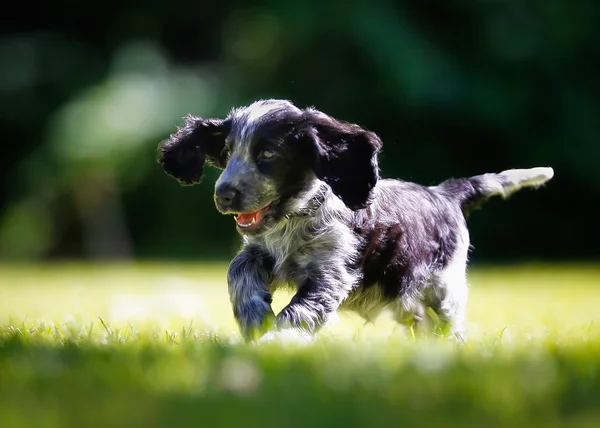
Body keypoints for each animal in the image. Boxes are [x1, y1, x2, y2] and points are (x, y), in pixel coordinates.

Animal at [157, 98, 556, 342]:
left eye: (267, 154)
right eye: (226, 154)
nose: (223, 195)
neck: (294, 216)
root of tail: (445, 193)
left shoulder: (331, 271)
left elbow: (300, 311)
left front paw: (278, 340)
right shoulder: (260, 252)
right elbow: (238, 269)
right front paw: (255, 316)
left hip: (443, 288)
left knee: (448, 325)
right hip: (407, 301)